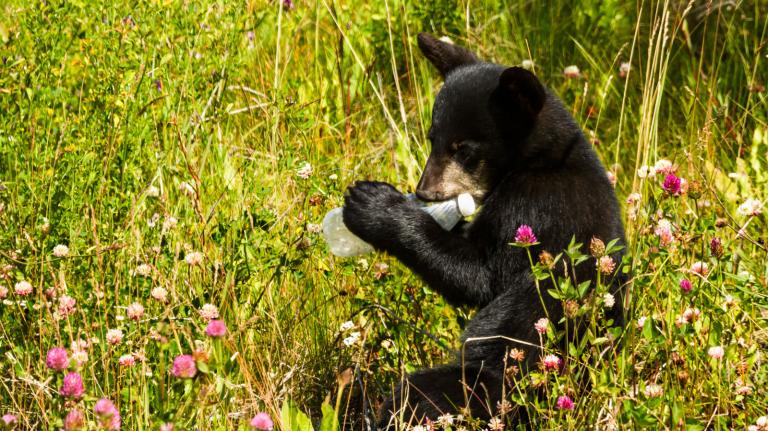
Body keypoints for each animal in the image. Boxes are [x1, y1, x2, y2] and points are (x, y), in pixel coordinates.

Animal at [342, 33, 626, 429]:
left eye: (464, 149)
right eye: (432, 138)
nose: (425, 191)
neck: (544, 159)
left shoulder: (534, 208)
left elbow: (479, 276)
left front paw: (375, 206)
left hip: (495, 385)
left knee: (423, 393)